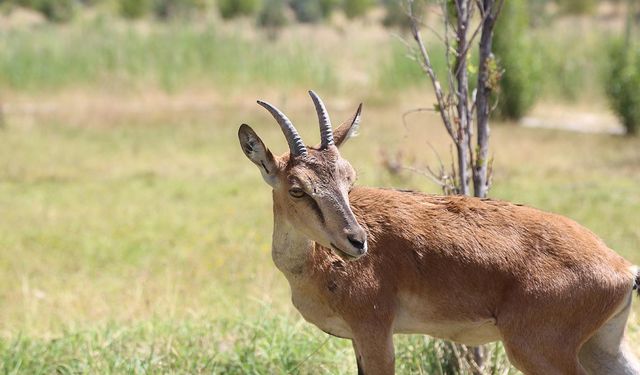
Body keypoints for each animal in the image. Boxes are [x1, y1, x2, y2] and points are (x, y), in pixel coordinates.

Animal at [238, 92, 640, 375]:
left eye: (348, 178)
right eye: (297, 188)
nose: (357, 241)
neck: (316, 265)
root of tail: (622, 267)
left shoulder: (375, 334)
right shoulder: (357, 340)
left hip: (540, 351)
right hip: (601, 347)